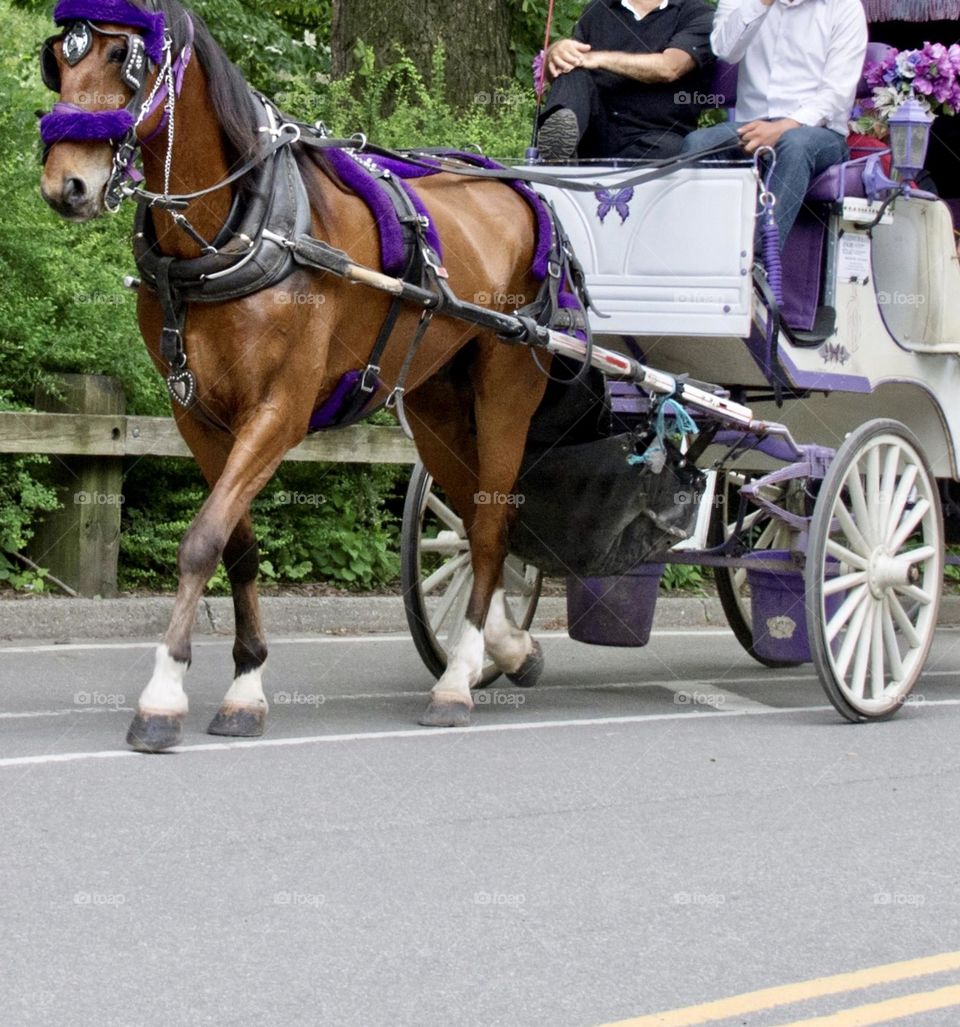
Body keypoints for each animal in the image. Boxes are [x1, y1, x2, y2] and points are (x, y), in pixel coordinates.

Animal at [39, 0, 551, 751]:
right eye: (58, 59)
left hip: (507, 387)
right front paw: (246, 683)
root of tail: (511, 183)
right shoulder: (198, 416)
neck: (238, 228)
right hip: (438, 405)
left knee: (487, 526)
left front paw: (162, 696)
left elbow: (199, 541)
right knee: (483, 520)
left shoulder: (279, 411)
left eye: (122, 59)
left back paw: (458, 678)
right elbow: (237, 545)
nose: (64, 186)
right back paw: (508, 645)